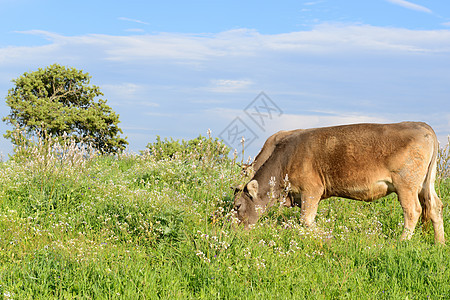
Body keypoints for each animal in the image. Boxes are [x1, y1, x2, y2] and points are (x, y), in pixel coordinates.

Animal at [234, 121, 444, 244]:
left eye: (237, 206)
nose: (233, 229)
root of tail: (421, 125)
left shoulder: (312, 189)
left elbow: (306, 220)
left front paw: (328, 237)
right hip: (425, 184)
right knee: (435, 206)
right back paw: (439, 243)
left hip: (406, 185)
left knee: (413, 211)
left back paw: (401, 242)